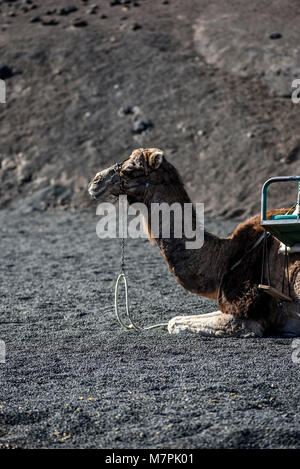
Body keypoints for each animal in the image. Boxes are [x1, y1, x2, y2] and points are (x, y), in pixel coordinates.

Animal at [88, 148, 300, 334]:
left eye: (130, 169)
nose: (95, 181)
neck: (226, 259)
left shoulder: (247, 316)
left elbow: (174, 324)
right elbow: (175, 319)